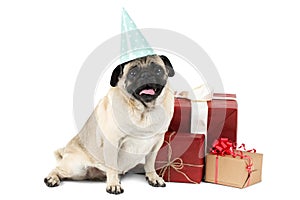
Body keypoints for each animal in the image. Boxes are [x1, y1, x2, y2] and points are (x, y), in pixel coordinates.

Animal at [43, 54, 175, 194]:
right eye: (133, 73)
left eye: (158, 70)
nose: (146, 75)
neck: (145, 111)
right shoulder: (113, 143)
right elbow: (112, 166)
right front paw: (113, 185)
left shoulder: (156, 143)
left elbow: (150, 163)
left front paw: (153, 177)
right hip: (75, 168)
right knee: (57, 169)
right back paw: (52, 178)